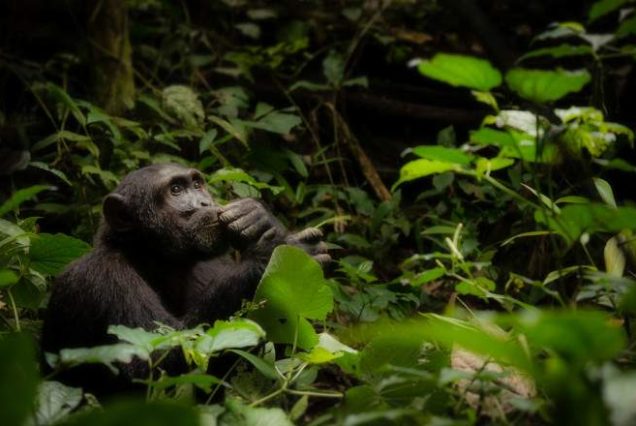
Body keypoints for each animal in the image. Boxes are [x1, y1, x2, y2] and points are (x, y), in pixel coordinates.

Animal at [40, 162, 330, 392]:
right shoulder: (103, 278)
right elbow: (156, 360)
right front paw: (276, 250)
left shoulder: (213, 265)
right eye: (176, 190)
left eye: (197, 184)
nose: (205, 202)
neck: (157, 259)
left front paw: (258, 216)